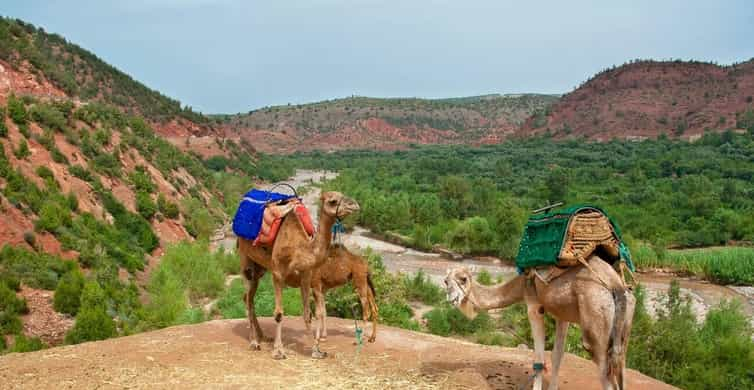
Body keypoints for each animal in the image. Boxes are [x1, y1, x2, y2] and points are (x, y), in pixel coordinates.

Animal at [444, 256, 632, 390]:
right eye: (446, 281)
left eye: (463, 279)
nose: (452, 298)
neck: (520, 284)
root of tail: (616, 285)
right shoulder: (563, 315)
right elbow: (557, 355)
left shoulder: (534, 306)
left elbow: (539, 359)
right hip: (625, 325)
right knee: (620, 367)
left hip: (596, 322)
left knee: (605, 374)